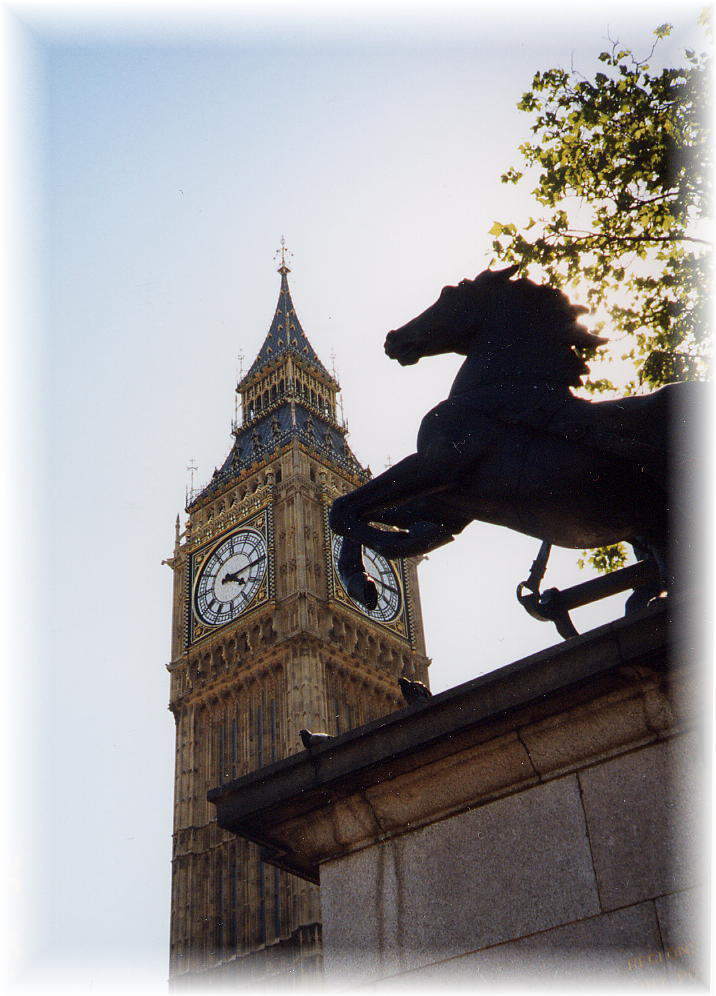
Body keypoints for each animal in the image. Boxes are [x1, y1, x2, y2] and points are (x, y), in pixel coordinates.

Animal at [330, 264, 700, 612]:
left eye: (449, 293)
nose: (393, 338)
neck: (496, 388)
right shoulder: (451, 502)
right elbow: (361, 509)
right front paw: (366, 578)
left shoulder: (438, 463)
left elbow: (344, 509)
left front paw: (371, 566)